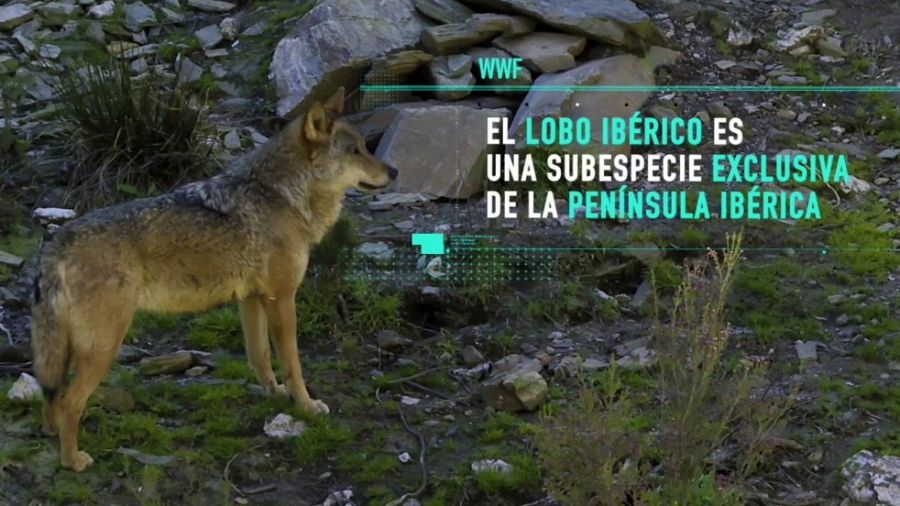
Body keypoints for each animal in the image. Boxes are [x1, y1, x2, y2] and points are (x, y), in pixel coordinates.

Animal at [31, 88, 396, 471]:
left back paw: (51, 434)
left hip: (67, 348)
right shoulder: (282, 298)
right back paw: (73, 461)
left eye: (365, 146)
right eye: (354, 151)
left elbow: (260, 356)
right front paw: (307, 406)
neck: (281, 194)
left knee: (51, 394)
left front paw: (275, 395)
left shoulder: (251, 299)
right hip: (103, 347)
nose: (395, 171)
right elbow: (293, 363)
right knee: (70, 403)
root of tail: (55, 242)